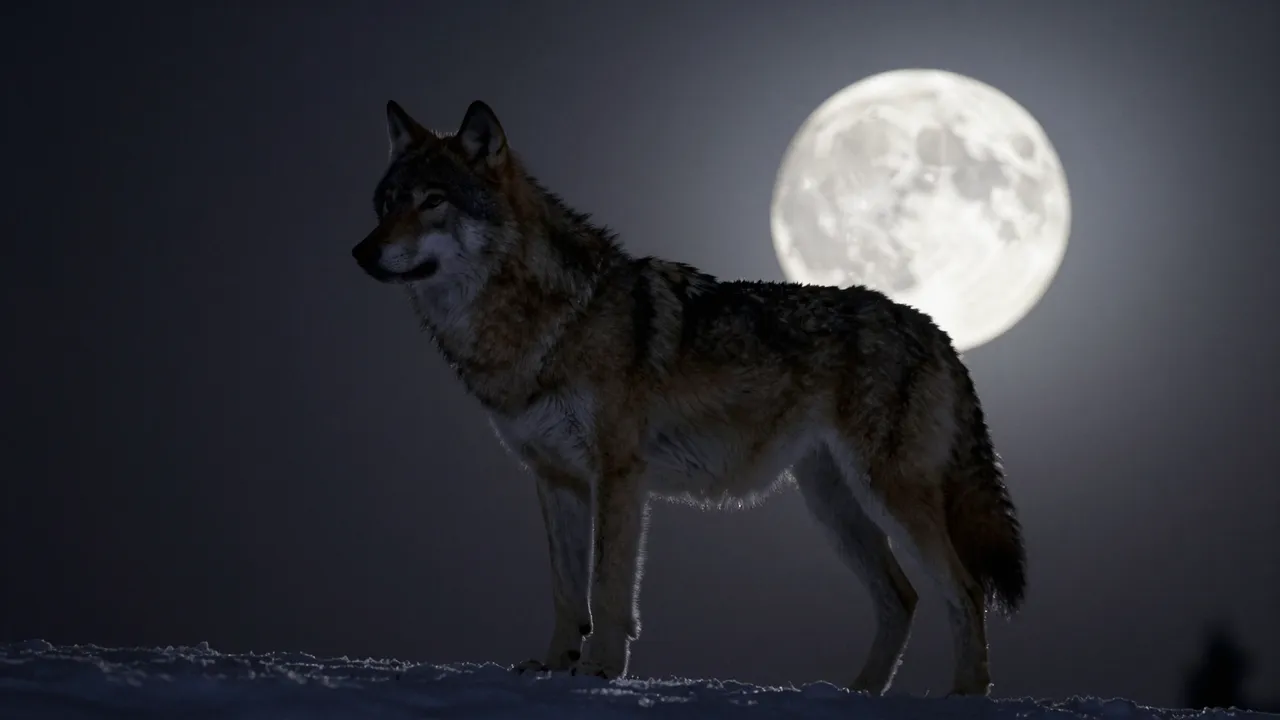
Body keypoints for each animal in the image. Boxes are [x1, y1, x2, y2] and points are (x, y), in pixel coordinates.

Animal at [350, 99, 1027, 697]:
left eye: (433, 201)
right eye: (385, 204)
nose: (360, 252)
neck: (540, 320)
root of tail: (933, 328)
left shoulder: (618, 474)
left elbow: (607, 588)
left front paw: (599, 670)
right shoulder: (554, 478)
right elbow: (567, 592)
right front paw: (554, 666)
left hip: (887, 493)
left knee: (962, 591)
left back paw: (966, 695)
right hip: (832, 502)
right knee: (901, 598)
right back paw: (858, 693)